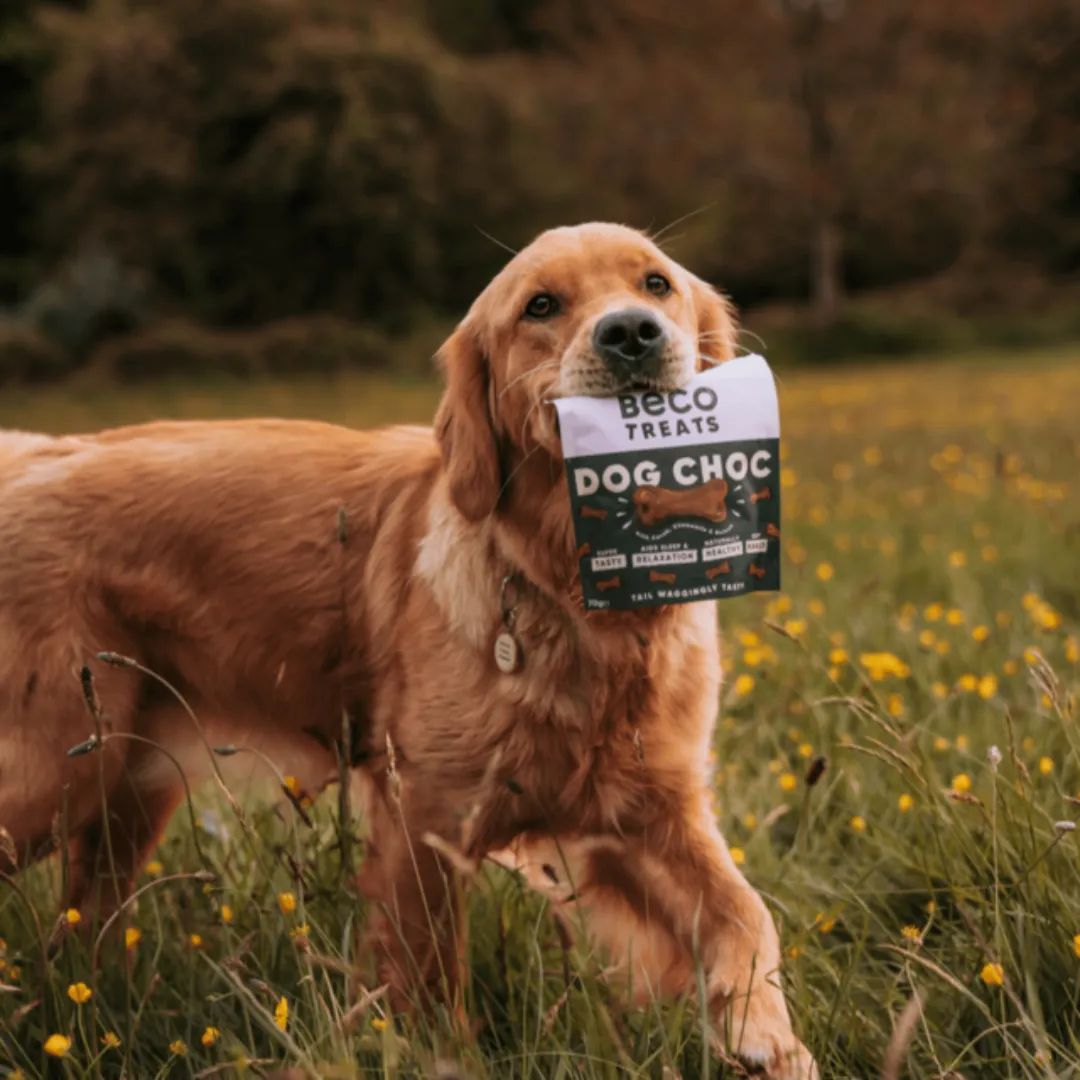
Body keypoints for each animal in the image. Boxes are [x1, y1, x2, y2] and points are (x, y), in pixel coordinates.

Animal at [0, 223, 812, 1075]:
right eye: (540, 306)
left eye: (656, 284)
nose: (630, 333)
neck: (570, 594)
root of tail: (26, 456)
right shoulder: (424, 817)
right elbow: (430, 975)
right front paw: (443, 1054)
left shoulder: (650, 811)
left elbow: (746, 913)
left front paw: (766, 1036)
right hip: (51, 772)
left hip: (123, 787)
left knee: (82, 930)